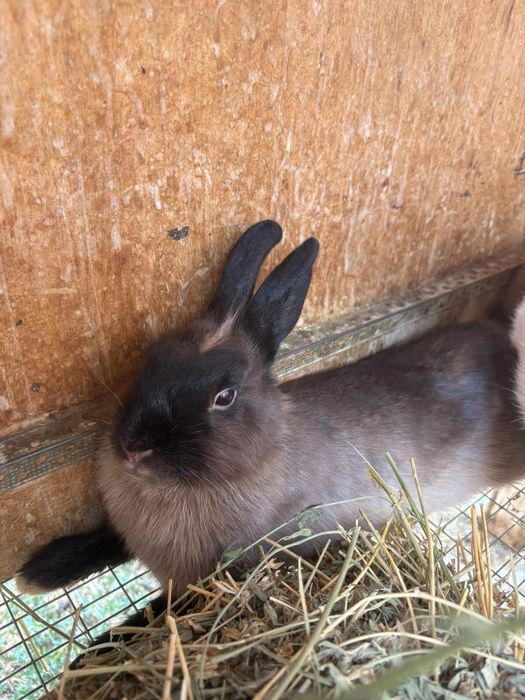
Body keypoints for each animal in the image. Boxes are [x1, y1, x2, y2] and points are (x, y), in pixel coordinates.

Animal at [17, 219, 525, 652]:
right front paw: (38, 572)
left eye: (224, 396)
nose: (133, 449)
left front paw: (95, 650)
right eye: (153, 355)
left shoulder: (217, 574)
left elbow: (156, 615)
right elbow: (105, 542)